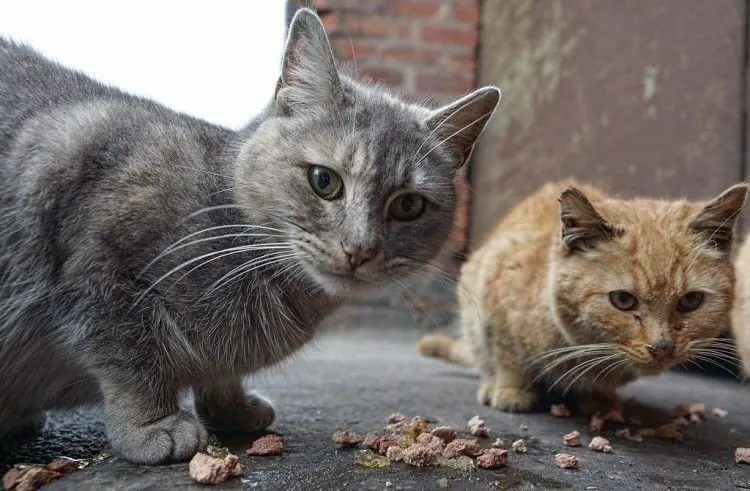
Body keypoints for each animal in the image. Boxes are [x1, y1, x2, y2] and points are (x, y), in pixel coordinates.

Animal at [0, 6, 502, 466]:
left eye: (408, 206)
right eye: (324, 180)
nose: (359, 249)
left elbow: (219, 376)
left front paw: (233, 408)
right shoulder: (98, 268)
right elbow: (131, 358)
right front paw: (153, 424)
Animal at [420, 179, 748, 414]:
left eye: (690, 301)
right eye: (623, 300)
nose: (663, 347)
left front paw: (601, 400)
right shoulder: (496, 291)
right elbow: (508, 358)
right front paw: (512, 391)